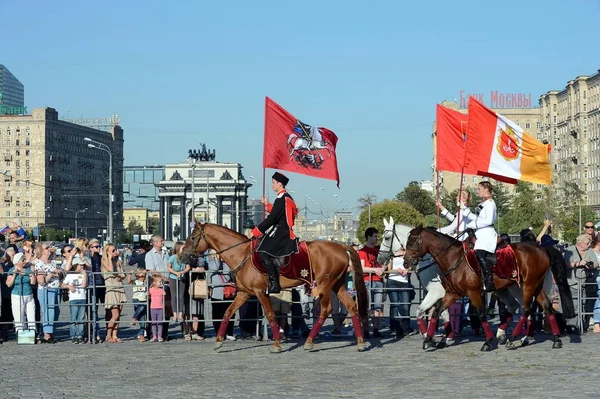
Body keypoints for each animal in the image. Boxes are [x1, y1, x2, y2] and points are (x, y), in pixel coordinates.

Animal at [178, 223, 368, 354]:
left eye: (193, 237)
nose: (182, 256)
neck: (242, 254)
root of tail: (341, 246)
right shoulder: (244, 293)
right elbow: (228, 312)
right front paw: (218, 341)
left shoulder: (260, 292)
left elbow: (270, 315)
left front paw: (276, 344)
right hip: (338, 284)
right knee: (351, 306)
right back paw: (360, 341)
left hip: (324, 285)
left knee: (326, 309)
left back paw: (309, 341)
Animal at [400, 227, 568, 352]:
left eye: (412, 242)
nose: (405, 263)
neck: (453, 258)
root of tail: (541, 249)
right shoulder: (452, 294)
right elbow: (437, 311)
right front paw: (429, 339)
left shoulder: (473, 293)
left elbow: (481, 315)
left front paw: (487, 342)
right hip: (532, 286)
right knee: (544, 306)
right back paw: (555, 339)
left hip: (528, 285)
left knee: (526, 309)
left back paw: (513, 338)